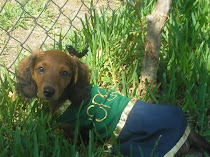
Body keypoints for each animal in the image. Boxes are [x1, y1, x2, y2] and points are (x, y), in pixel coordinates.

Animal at [17, 49, 209, 156]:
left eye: (65, 73)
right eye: (40, 69)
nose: (48, 91)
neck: (68, 96)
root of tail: (187, 130)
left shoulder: (74, 130)